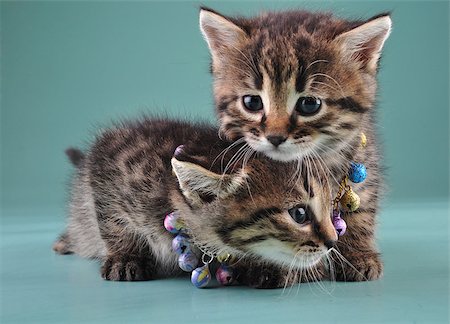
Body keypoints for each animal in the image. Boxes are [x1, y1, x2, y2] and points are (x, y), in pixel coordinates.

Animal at [52, 117, 336, 288]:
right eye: (299, 214)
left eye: (330, 208)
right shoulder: (110, 162)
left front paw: (276, 268)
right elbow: (112, 220)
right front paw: (125, 256)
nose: (333, 242)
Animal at [200, 8, 390, 280]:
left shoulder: (363, 158)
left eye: (309, 104)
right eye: (251, 102)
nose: (275, 137)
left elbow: (361, 207)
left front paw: (358, 254)